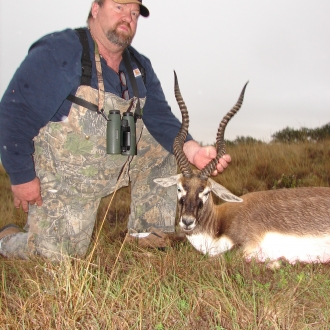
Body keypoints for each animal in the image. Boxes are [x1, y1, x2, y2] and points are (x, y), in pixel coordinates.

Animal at [154, 72, 330, 266]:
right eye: (179, 188)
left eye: (206, 192)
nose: (187, 221)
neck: (218, 225)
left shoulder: (246, 247)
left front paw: (277, 263)